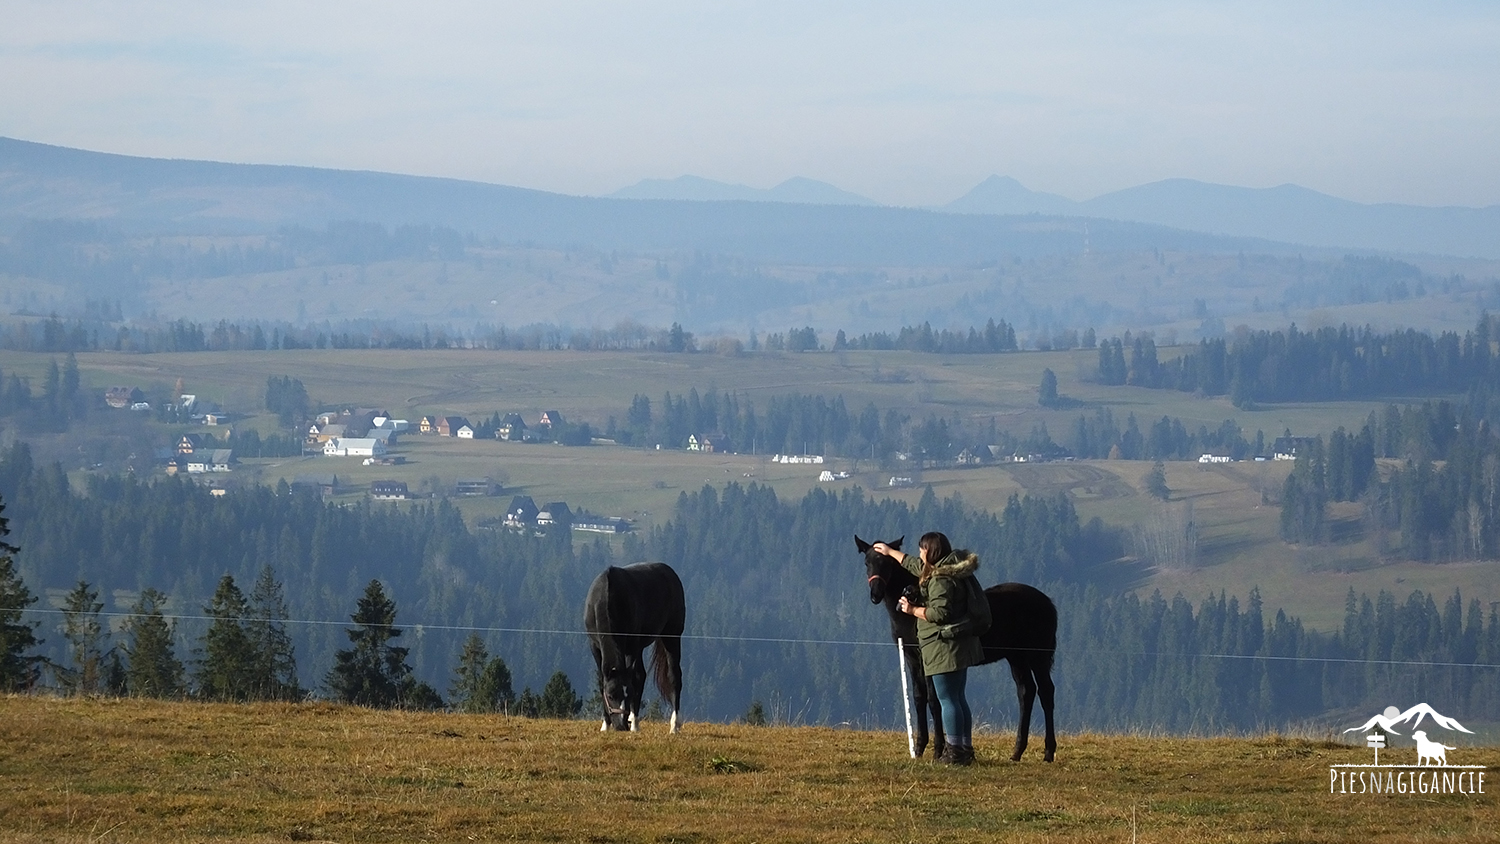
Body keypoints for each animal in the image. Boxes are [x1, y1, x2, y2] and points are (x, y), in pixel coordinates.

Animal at [585, 560, 687, 734]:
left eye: (628, 694)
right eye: (610, 695)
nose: (621, 726)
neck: (607, 598)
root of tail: (670, 572)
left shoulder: (632, 645)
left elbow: (635, 679)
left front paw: (634, 725)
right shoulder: (595, 647)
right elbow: (601, 681)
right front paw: (605, 724)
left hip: (671, 636)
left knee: (673, 676)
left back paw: (673, 725)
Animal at [864, 533, 1062, 767]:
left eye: (886, 562)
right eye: (867, 562)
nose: (875, 594)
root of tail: (1047, 602)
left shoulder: (926, 660)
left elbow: (934, 701)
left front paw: (938, 749)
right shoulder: (912, 659)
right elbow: (918, 698)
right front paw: (919, 747)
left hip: (1038, 657)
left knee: (1046, 692)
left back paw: (1048, 752)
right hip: (1017, 657)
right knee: (1026, 692)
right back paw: (1017, 752)